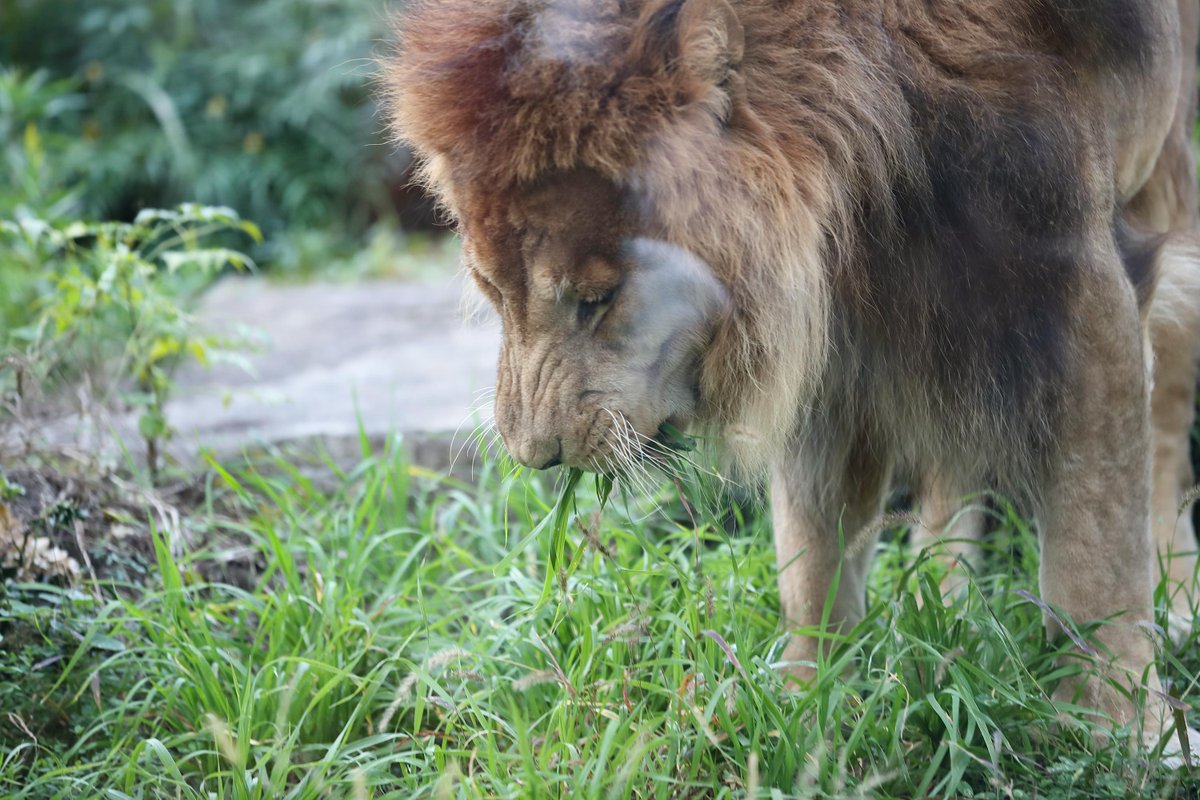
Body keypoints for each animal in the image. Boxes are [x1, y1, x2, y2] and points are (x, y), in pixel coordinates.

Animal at [385, 0, 1200, 745]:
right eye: (490, 289)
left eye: (598, 298)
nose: (536, 459)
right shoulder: (835, 336)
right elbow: (813, 558)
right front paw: (803, 710)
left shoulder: (1077, 282)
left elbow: (1097, 545)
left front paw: (1126, 732)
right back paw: (947, 595)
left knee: (1163, 433)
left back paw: (1175, 601)